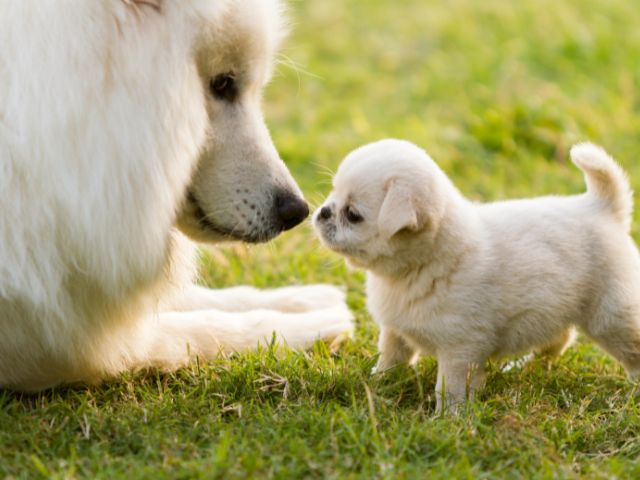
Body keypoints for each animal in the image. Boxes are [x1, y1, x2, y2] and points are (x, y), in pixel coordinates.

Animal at [0, 0, 352, 390]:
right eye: (223, 84)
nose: (297, 211)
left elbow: (195, 298)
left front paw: (299, 298)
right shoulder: (54, 341)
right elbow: (199, 331)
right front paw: (307, 326)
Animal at [314, 139, 640, 412]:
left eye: (353, 215)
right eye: (333, 194)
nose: (323, 212)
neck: (416, 267)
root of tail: (602, 208)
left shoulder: (459, 350)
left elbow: (449, 388)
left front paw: (449, 419)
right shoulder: (396, 332)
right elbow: (390, 358)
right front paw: (379, 382)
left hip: (610, 317)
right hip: (555, 308)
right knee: (558, 339)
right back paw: (526, 366)